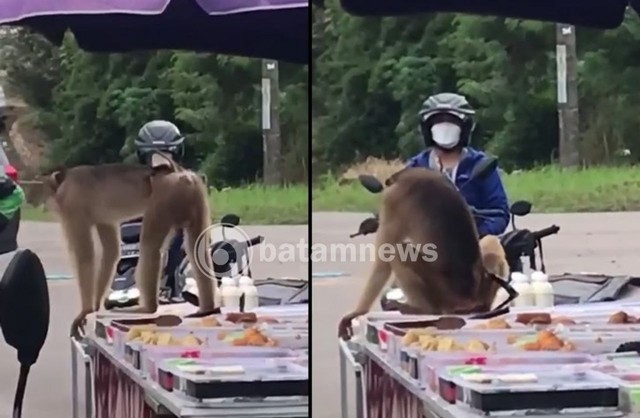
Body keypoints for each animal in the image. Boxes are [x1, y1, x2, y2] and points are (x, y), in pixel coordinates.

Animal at [42, 155, 219, 338]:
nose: (48, 204)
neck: (65, 181)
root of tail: (182, 174)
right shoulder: (100, 218)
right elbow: (111, 251)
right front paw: (96, 305)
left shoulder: (72, 205)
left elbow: (85, 255)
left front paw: (85, 311)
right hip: (196, 194)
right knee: (197, 248)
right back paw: (207, 307)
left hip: (164, 197)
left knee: (150, 246)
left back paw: (148, 308)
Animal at [338, 167, 508, 340]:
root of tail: (470, 300)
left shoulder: (392, 199)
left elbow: (383, 259)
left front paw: (357, 312)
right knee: (490, 240)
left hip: (444, 294)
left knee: (399, 251)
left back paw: (423, 310)